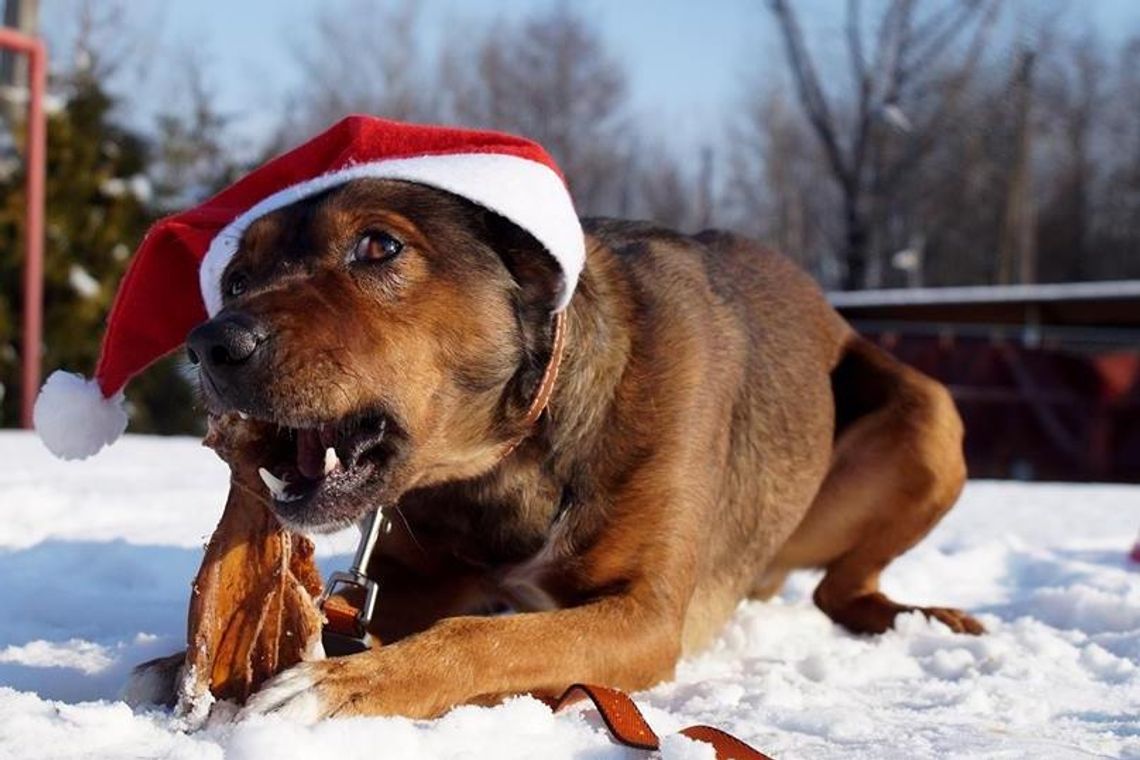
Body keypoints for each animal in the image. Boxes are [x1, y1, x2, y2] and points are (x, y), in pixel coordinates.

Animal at [177, 180, 980, 724]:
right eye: (237, 279)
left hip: (932, 415)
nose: (210, 345)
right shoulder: (407, 577)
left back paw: (927, 618)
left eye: (380, 245)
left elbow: (481, 638)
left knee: (836, 590)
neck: (502, 466)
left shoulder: (646, 618)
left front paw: (346, 685)